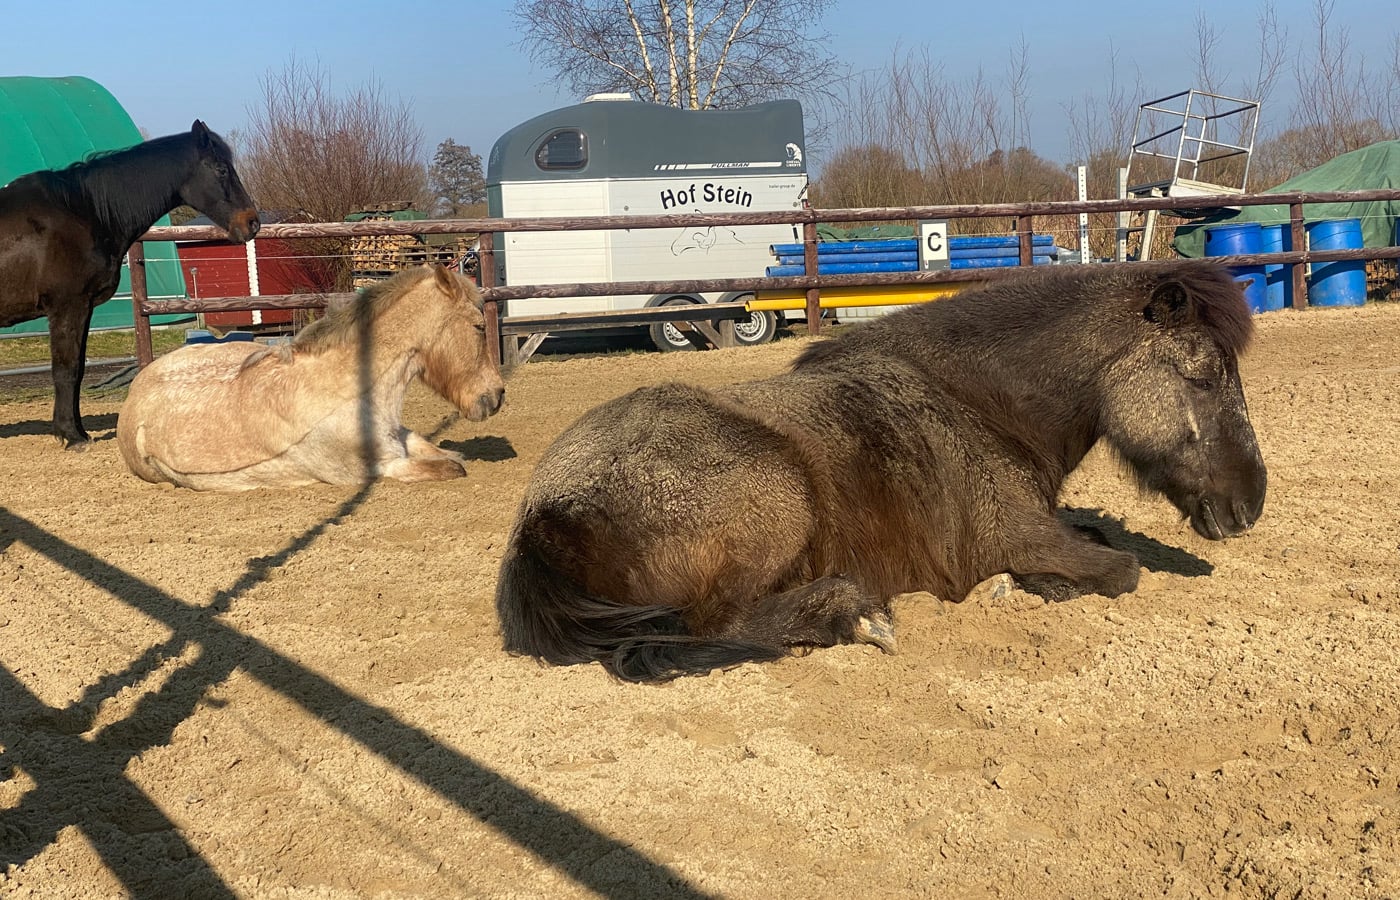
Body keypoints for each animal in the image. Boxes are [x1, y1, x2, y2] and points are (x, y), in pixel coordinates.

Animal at [0, 120, 259, 450]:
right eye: (221, 169)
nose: (252, 222)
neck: (83, 212)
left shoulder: (84, 308)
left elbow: (79, 369)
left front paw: (78, 430)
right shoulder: (67, 306)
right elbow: (66, 369)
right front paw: (71, 435)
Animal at [116, 265, 505, 490]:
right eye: (479, 326)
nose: (497, 395)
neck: (346, 391)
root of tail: (134, 391)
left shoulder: (403, 436)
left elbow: (446, 453)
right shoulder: (380, 469)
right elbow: (452, 467)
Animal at [496, 260, 1268, 682]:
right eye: (1203, 376)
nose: (1250, 504)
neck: (976, 402)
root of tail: (542, 512)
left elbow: (1104, 546)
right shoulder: (1014, 535)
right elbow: (1119, 569)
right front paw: (1022, 586)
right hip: (777, 500)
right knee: (714, 622)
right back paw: (850, 613)